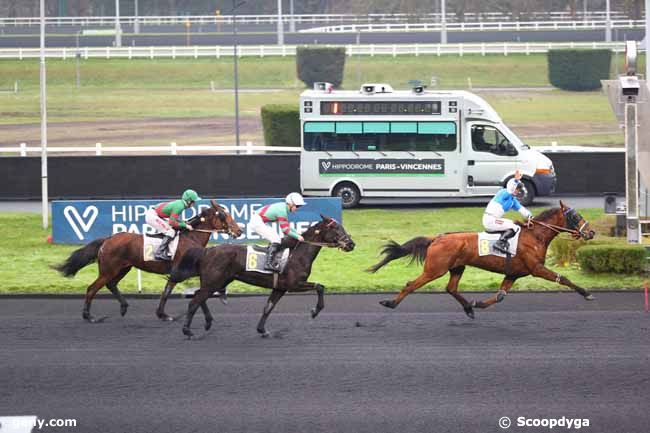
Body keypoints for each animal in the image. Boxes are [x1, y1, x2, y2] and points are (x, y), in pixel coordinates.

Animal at [54, 199, 242, 320]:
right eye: (224, 215)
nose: (239, 231)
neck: (192, 237)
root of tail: (108, 239)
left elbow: (168, 291)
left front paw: (162, 314)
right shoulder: (180, 270)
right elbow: (168, 291)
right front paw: (164, 315)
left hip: (122, 268)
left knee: (111, 285)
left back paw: (123, 307)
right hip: (108, 270)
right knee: (92, 289)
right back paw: (89, 316)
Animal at [168, 215, 354, 338]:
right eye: (336, 228)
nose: (351, 244)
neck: (297, 254)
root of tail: (207, 251)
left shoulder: (280, 288)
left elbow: (268, 307)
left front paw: (262, 330)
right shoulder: (294, 284)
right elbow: (320, 286)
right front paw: (315, 311)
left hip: (218, 280)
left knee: (199, 296)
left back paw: (207, 322)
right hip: (214, 280)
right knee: (195, 300)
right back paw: (187, 330)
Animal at [368, 200, 596, 318]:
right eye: (576, 216)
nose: (591, 232)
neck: (535, 236)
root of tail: (437, 238)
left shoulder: (513, 274)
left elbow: (500, 296)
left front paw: (477, 303)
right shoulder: (536, 268)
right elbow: (562, 278)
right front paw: (587, 293)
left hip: (457, 267)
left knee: (451, 288)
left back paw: (468, 308)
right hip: (434, 269)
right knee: (411, 284)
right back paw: (390, 303)